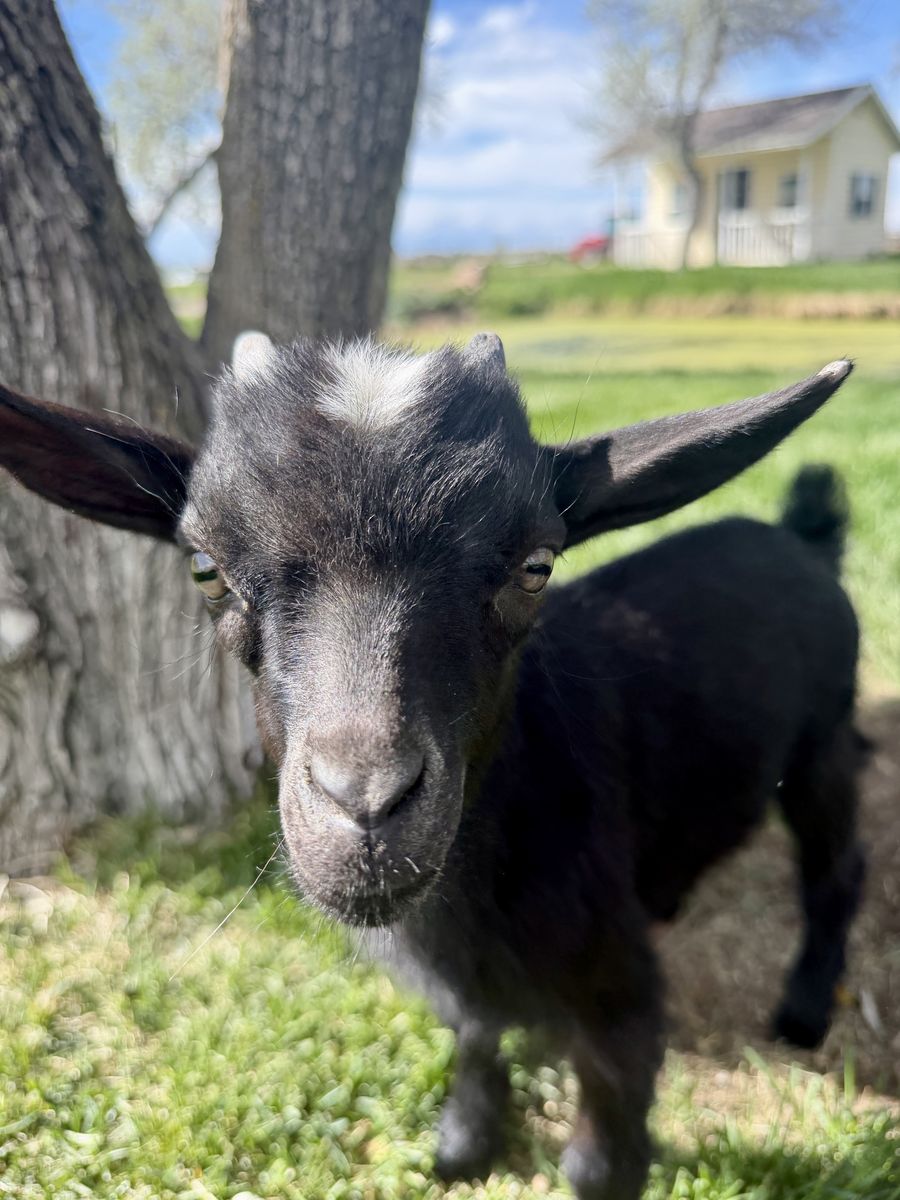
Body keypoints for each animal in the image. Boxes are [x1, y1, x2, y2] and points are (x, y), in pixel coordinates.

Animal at [0, 335, 864, 1199]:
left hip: (825, 741)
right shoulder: (469, 986)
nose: (367, 809)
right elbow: (476, 1035)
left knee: (835, 869)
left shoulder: (619, 992)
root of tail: (802, 536)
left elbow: (597, 1158)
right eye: (205, 569)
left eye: (537, 566)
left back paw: (806, 1008)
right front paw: (466, 1141)